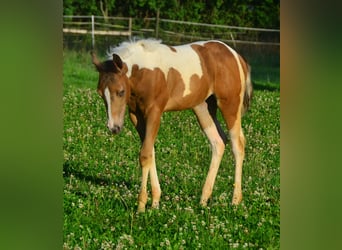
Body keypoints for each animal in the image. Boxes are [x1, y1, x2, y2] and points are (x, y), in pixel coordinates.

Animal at [92, 40, 252, 212]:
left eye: (121, 92)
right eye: (100, 93)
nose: (114, 127)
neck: (144, 72)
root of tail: (236, 55)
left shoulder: (154, 113)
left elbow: (145, 155)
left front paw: (141, 205)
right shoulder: (136, 116)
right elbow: (149, 151)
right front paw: (155, 201)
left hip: (230, 105)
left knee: (237, 145)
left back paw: (235, 200)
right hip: (203, 107)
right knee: (218, 142)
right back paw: (203, 199)